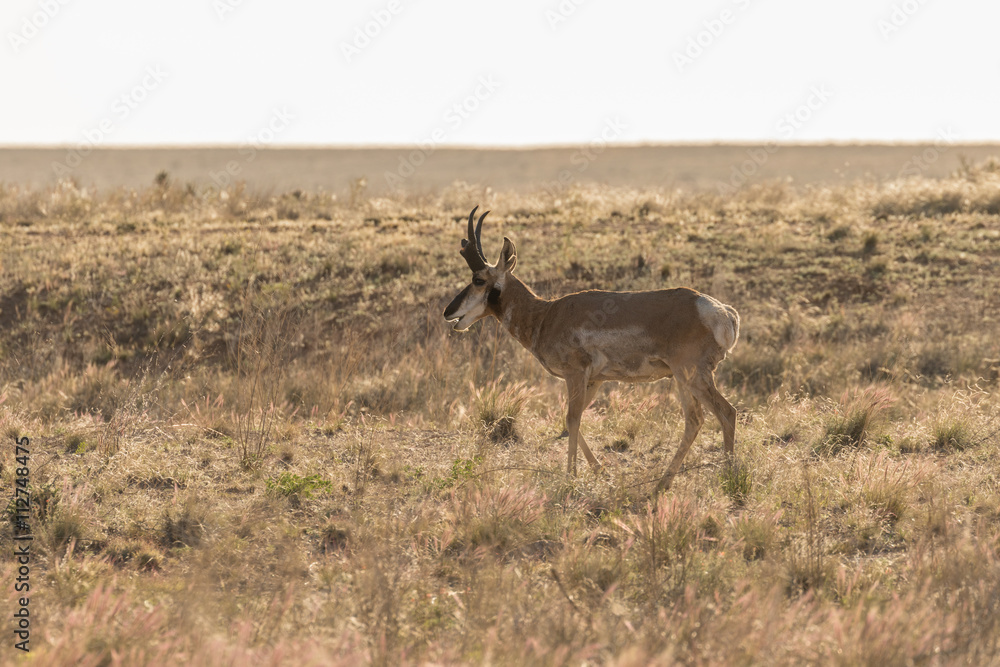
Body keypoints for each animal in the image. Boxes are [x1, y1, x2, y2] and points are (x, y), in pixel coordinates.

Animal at [443, 207, 740, 493]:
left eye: (478, 279)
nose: (448, 312)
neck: (546, 314)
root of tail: (723, 311)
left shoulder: (575, 374)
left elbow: (572, 418)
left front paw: (571, 476)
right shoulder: (594, 381)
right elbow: (571, 420)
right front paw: (600, 470)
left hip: (693, 376)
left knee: (726, 413)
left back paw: (728, 478)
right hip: (682, 379)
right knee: (695, 420)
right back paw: (662, 485)